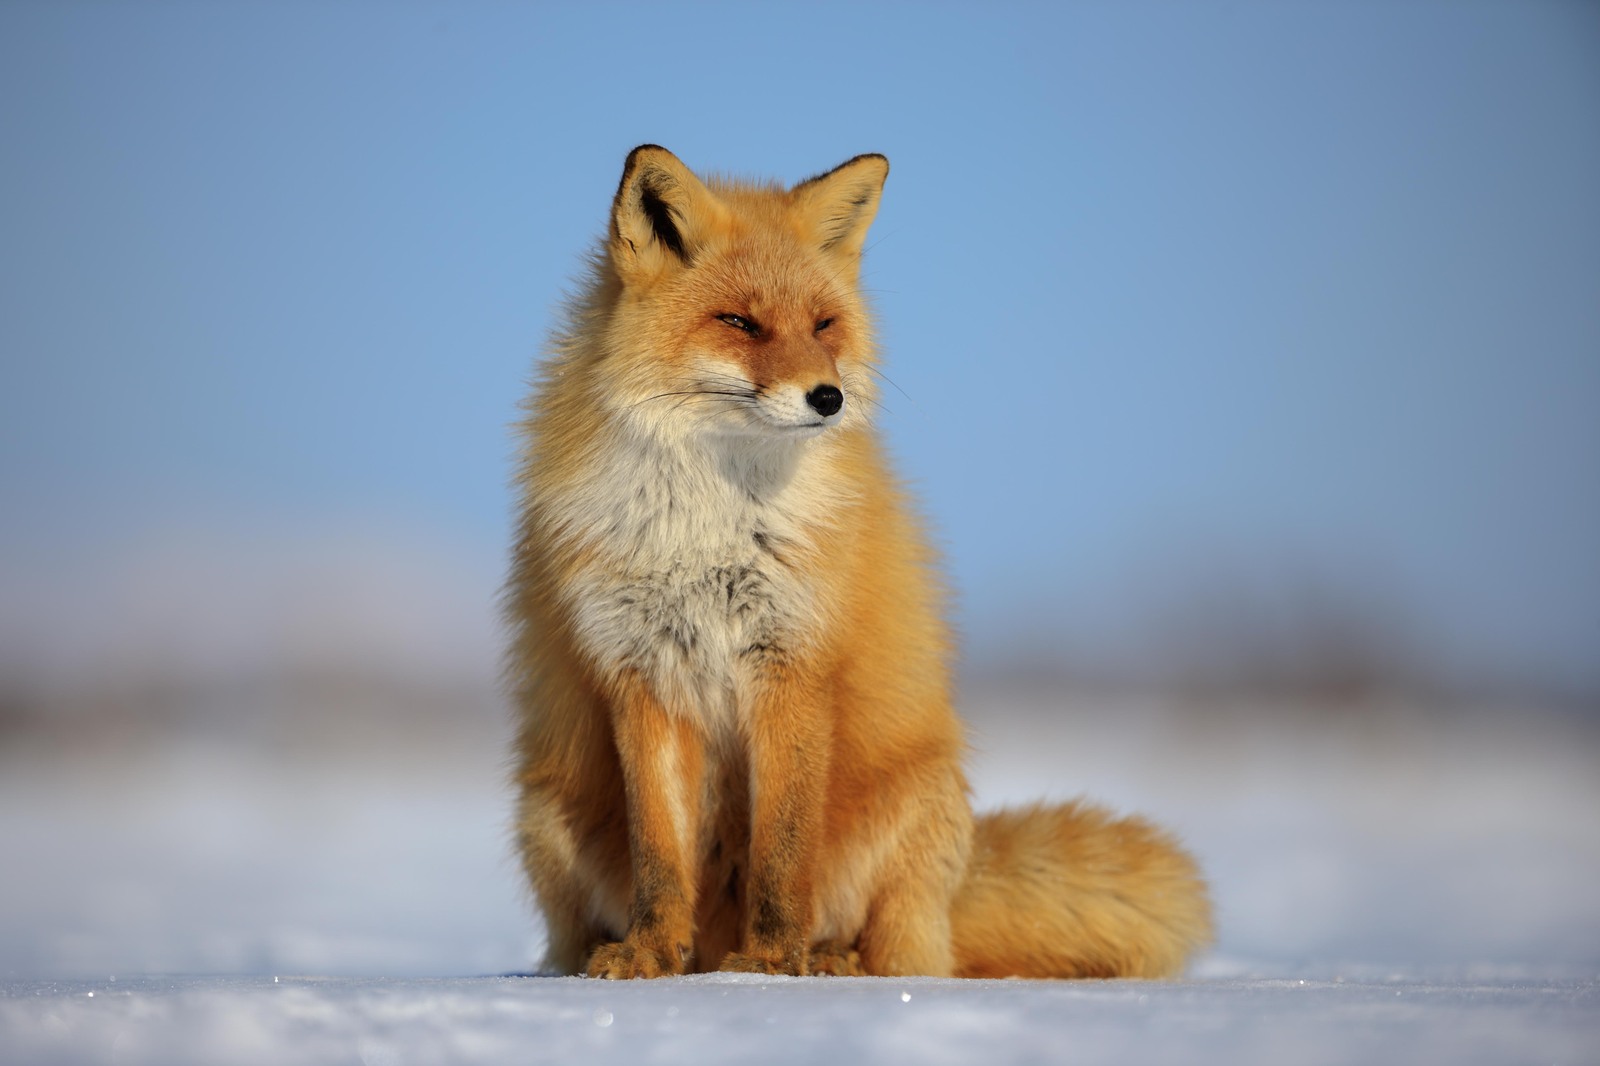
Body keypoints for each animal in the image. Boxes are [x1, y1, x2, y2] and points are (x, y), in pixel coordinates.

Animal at [505, 145, 1203, 973]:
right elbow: (660, 856)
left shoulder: (795, 663)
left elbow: (783, 849)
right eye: (739, 322)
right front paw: (650, 954)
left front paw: (772, 964)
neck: (710, 529)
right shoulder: (641, 675)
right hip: (543, 815)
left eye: (822, 325)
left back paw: (830, 961)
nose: (827, 397)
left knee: (901, 954)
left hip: (915, 812)